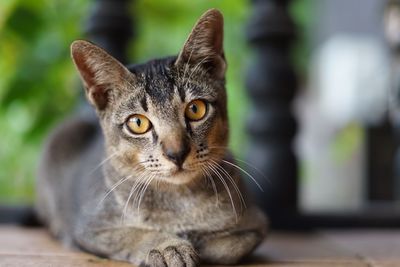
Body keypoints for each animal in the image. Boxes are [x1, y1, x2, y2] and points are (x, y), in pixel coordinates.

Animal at [36, 8, 268, 267]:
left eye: (196, 109)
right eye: (137, 123)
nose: (176, 153)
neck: (178, 201)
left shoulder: (256, 223)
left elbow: (228, 246)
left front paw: (194, 241)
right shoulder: (89, 228)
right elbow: (133, 234)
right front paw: (169, 247)